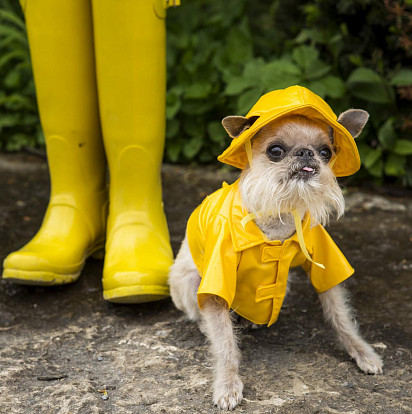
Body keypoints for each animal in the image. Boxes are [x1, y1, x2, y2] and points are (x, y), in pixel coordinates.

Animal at [168, 85, 384, 410]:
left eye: (326, 152)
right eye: (276, 151)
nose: (307, 152)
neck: (280, 212)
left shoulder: (324, 266)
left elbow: (341, 316)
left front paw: (361, 351)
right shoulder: (217, 286)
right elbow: (225, 344)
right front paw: (227, 384)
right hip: (190, 282)